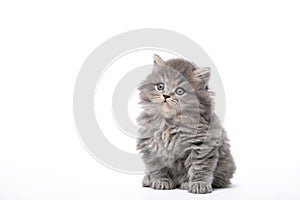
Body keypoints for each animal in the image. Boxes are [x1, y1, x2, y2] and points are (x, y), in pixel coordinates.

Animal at [137, 54, 237, 194]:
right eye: (160, 86)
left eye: (180, 91)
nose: (166, 96)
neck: (171, 122)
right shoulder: (150, 142)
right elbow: (156, 167)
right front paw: (161, 181)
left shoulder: (202, 143)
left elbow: (200, 167)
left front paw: (199, 184)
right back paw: (147, 179)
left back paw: (185, 183)